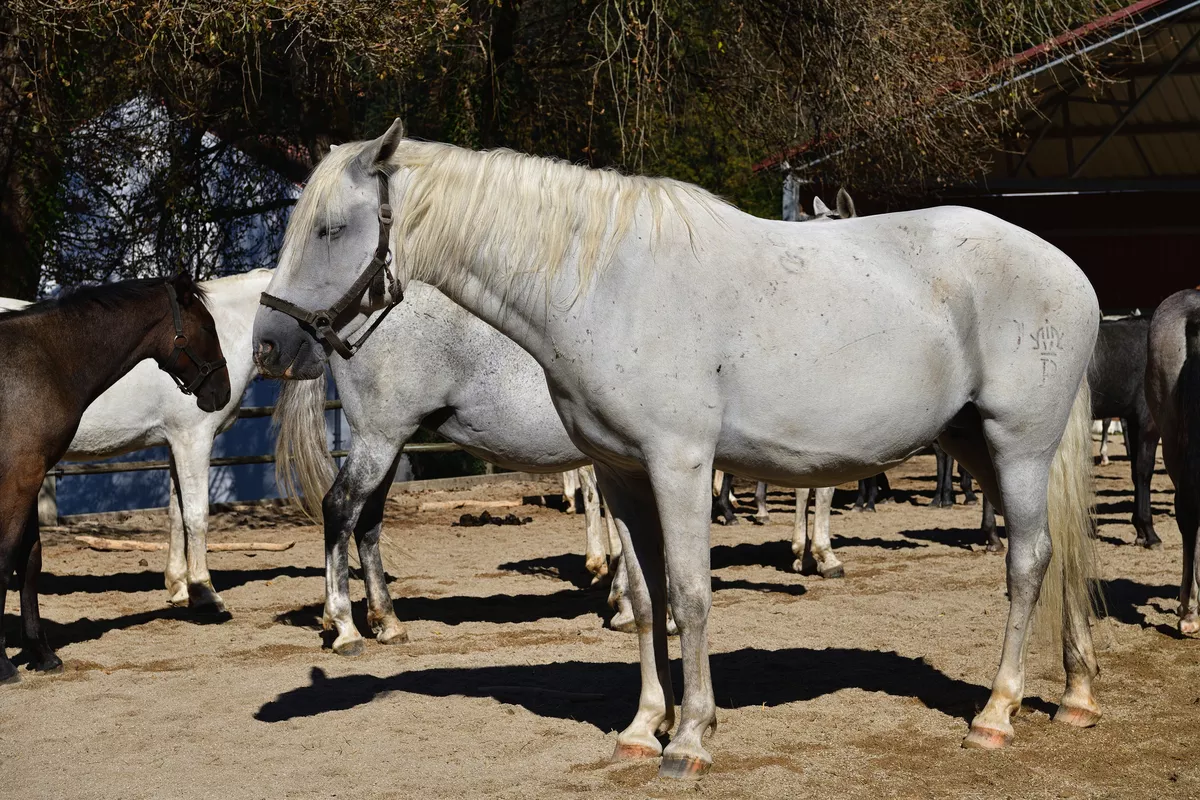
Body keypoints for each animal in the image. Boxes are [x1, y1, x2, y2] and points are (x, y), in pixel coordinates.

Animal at [0, 271, 229, 681]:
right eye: (208, 326)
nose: (222, 391)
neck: (44, 361)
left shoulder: (32, 475)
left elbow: (29, 560)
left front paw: (41, 653)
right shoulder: (19, 476)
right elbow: (5, 557)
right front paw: (2, 663)